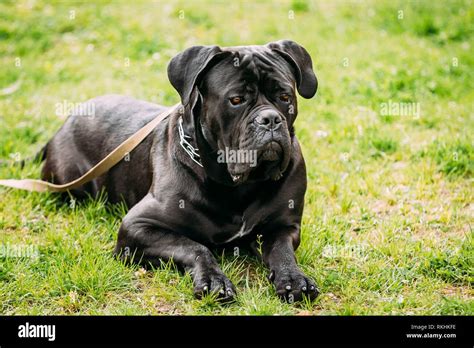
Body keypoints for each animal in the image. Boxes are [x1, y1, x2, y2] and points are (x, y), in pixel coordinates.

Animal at [39, 40, 318, 302]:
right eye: (236, 100)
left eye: (284, 96)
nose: (270, 119)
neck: (238, 184)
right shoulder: (137, 226)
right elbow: (195, 247)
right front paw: (213, 280)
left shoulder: (285, 225)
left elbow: (281, 250)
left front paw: (293, 278)